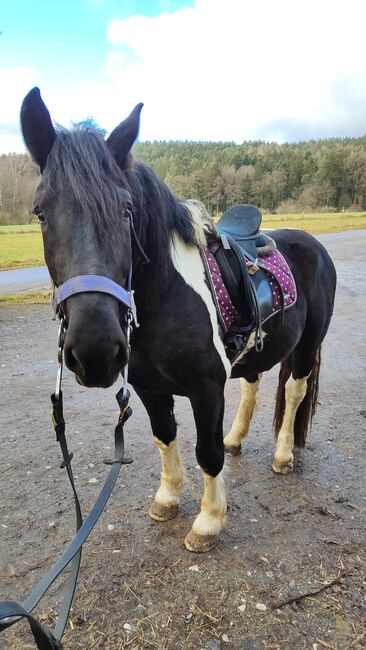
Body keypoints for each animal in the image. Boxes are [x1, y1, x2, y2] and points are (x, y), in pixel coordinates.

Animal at [19, 87, 334, 552]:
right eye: (40, 211)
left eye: (127, 210)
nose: (95, 351)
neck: (165, 298)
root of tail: (311, 242)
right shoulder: (150, 387)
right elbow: (164, 435)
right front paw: (167, 499)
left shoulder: (207, 390)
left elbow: (207, 452)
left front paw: (208, 521)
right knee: (252, 385)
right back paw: (236, 438)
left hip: (308, 345)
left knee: (294, 393)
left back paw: (282, 455)